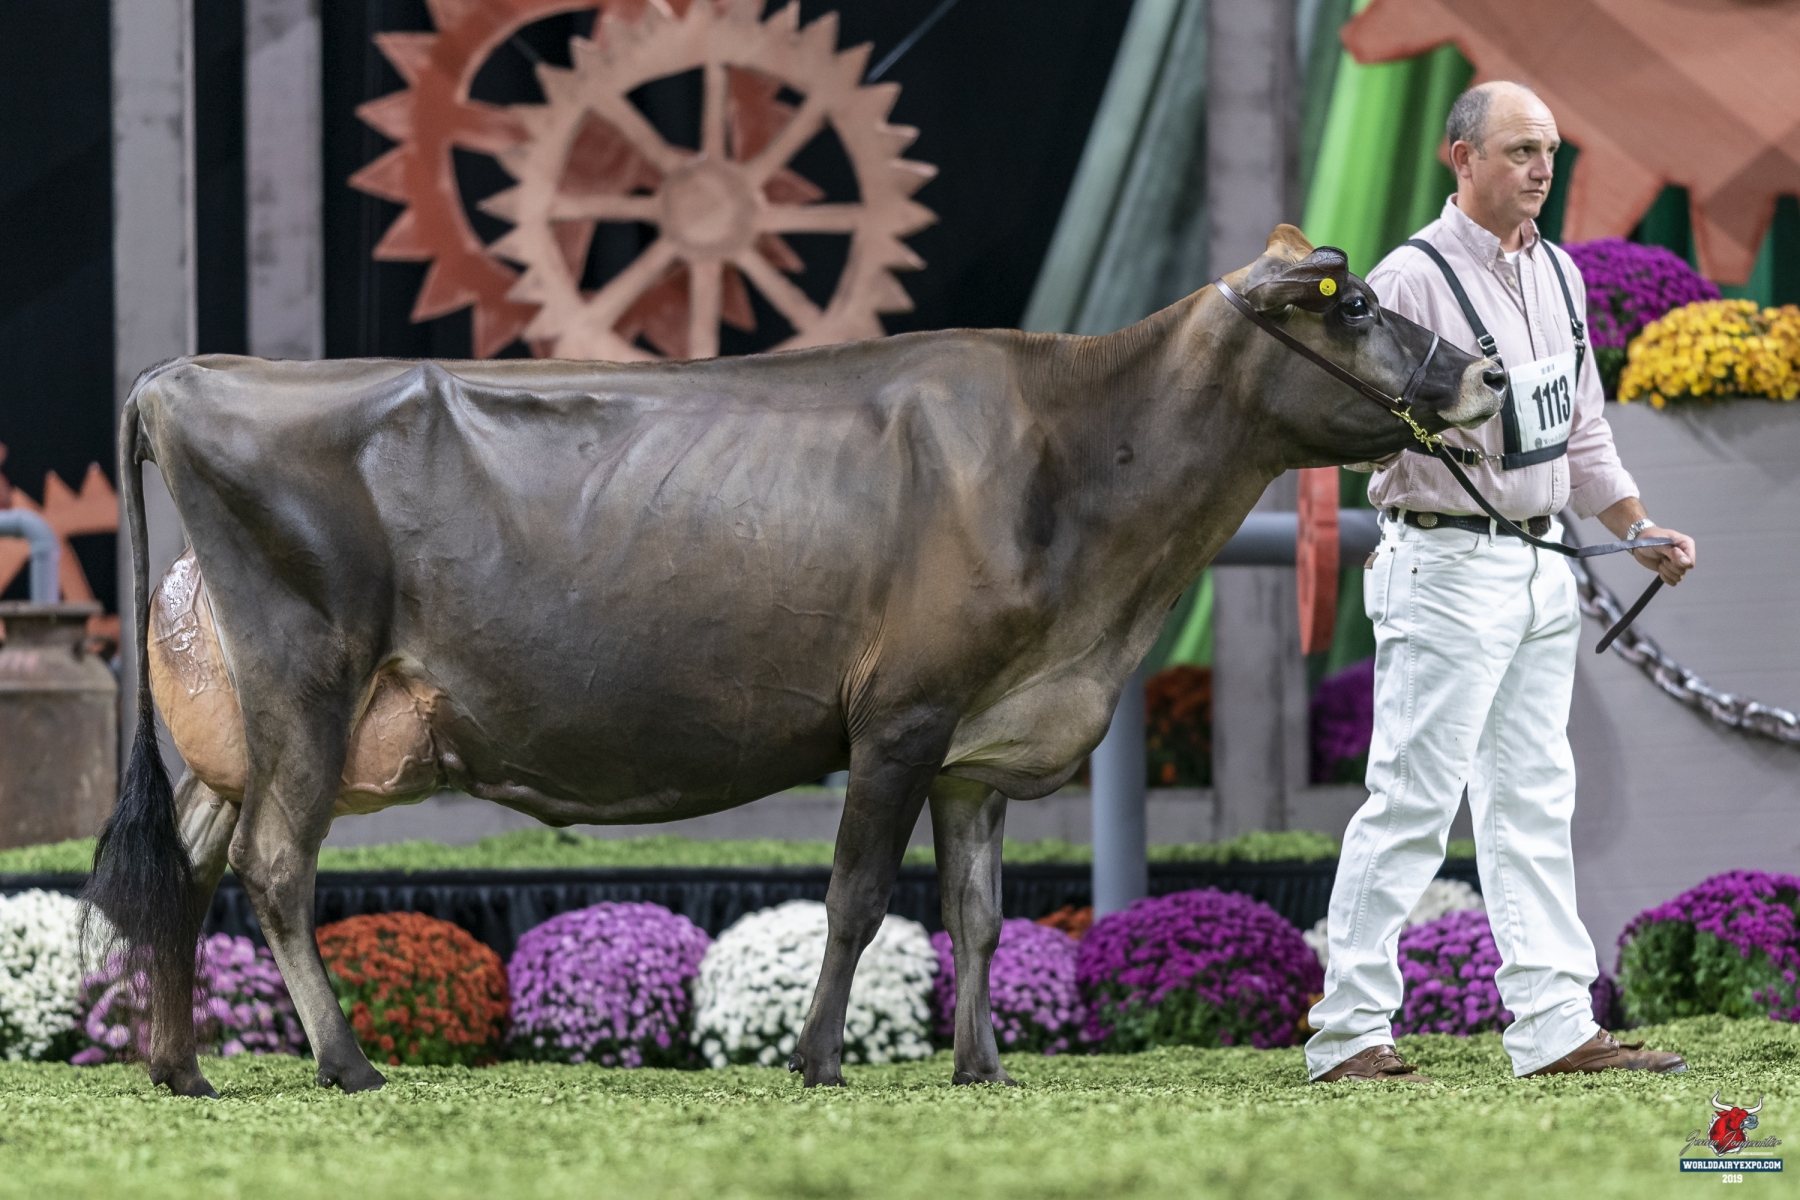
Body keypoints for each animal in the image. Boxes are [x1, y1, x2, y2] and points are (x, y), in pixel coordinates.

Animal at [86, 226, 1503, 1099]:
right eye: (1357, 304)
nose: (1486, 374)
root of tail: (184, 376)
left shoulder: (980, 745)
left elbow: (980, 913)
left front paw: (983, 1069)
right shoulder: (902, 715)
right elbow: (861, 900)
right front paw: (819, 1061)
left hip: (231, 723)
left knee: (185, 875)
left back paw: (182, 1070)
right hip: (307, 678)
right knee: (273, 868)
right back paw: (345, 1063)